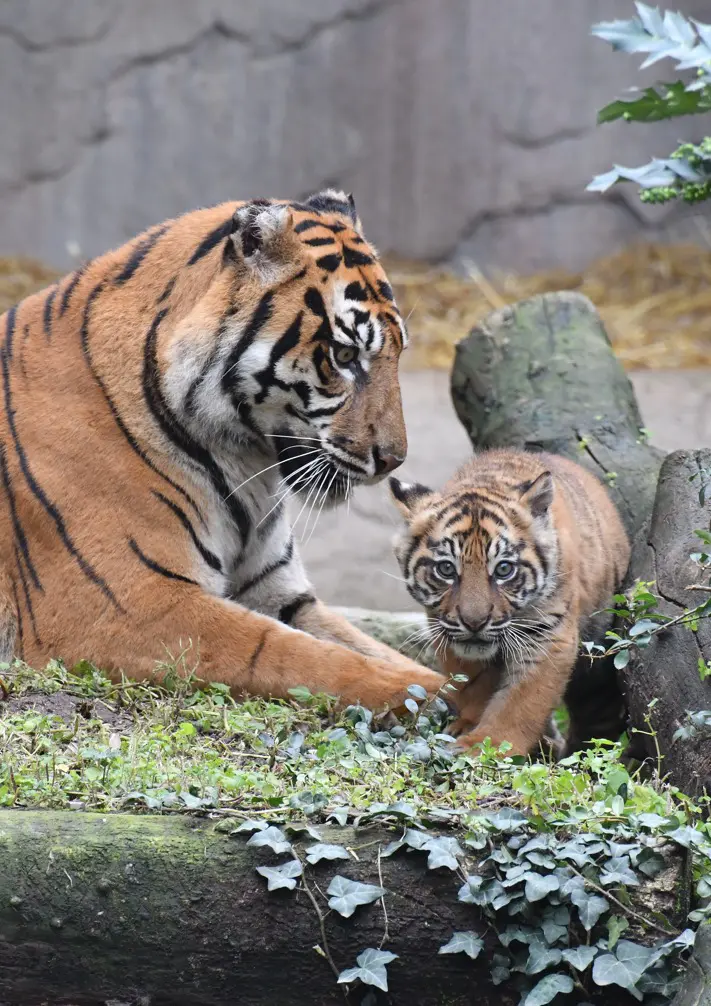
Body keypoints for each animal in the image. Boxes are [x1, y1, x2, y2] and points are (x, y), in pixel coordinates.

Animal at [0, 189, 446, 710]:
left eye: (399, 352)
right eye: (344, 355)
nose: (393, 460)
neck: (243, 464)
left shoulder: (280, 591)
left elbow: (366, 645)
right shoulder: (129, 605)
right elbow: (296, 654)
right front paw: (439, 697)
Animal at [388, 447, 631, 757]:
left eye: (504, 569)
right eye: (446, 569)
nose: (474, 622)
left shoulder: (546, 634)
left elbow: (521, 701)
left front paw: (485, 745)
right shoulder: (445, 630)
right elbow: (471, 683)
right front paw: (467, 725)